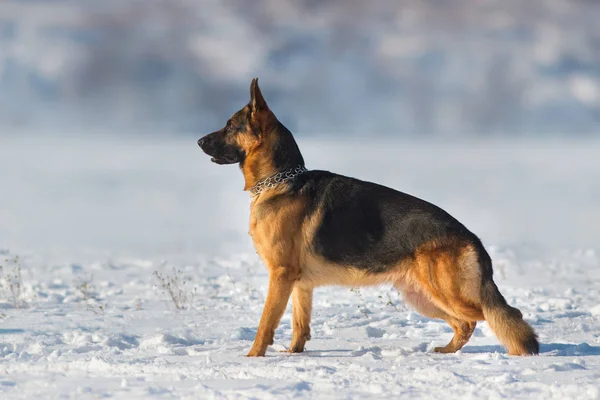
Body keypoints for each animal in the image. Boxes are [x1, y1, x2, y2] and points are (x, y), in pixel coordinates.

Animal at [197, 77, 540, 356]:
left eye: (230, 125)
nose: (199, 141)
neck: (281, 179)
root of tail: (472, 238)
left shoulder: (280, 275)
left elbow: (265, 323)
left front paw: (252, 357)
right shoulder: (299, 284)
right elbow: (299, 324)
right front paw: (294, 354)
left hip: (445, 293)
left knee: (501, 315)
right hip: (422, 297)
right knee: (467, 324)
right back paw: (446, 351)